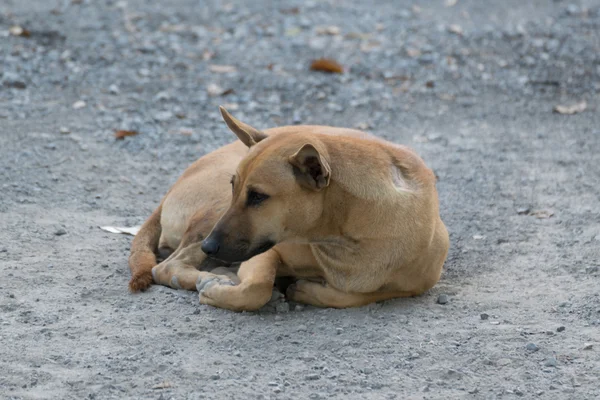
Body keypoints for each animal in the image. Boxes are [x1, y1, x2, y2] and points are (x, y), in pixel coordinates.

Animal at [129, 108, 448, 310]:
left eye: (258, 197)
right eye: (235, 186)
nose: (210, 247)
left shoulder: (412, 286)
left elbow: (356, 295)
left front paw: (308, 290)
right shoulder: (268, 252)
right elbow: (256, 290)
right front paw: (216, 289)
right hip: (213, 211)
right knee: (165, 267)